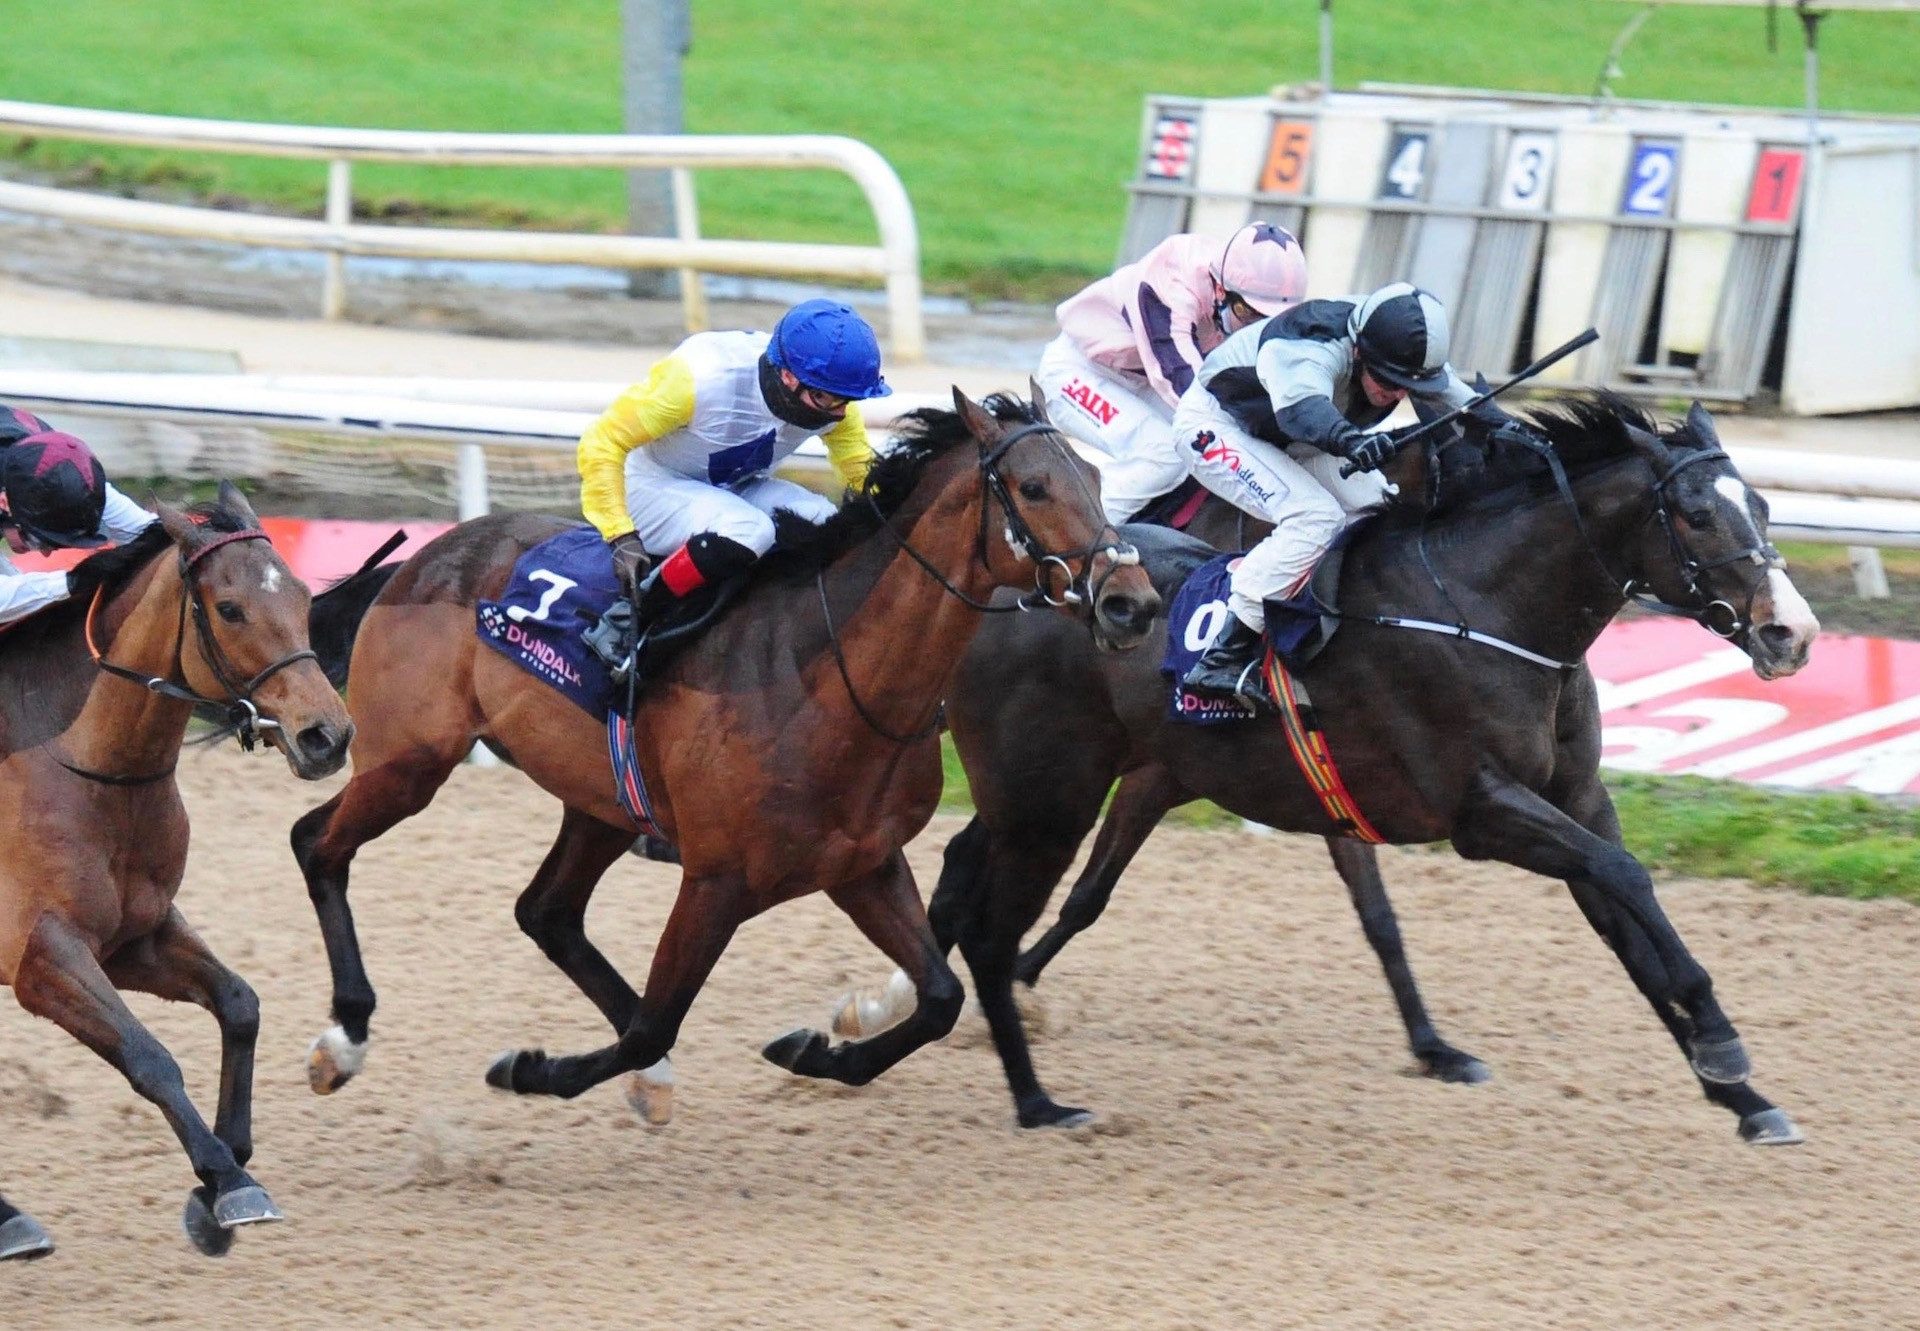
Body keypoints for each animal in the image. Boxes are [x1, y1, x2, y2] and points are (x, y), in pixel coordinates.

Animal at [0, 485, 353, 1259]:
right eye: (230, 608)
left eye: (304, 594)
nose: (327, 736)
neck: (85, 763)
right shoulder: (42, 954)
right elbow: (149, 1055)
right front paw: (229, 1182)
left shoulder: (137, 935)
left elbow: (241, 1004)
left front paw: (220, 1177)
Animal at [284, 389, 1152, 1113]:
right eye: (1034, 488)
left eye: (1097, 479)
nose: (1133, 602)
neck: (831, 677)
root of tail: (426, 558)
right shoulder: (716, 880)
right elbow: (654, 1023)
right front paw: (531, 1068)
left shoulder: (863, 863)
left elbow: (939, 998)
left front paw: (816, 1051)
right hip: (411, 760)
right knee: (317, 843)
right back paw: (343, 1039)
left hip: (602, 799)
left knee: (547, 911)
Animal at [825, 393, 1812, 1144]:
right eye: (1696, 513)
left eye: (1764, 508)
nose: (1790, 633)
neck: (1481, 607)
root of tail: (1016, 585)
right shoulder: (1482, 809)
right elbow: (1627, 876)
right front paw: (1722, 1042)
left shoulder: (1574, 797)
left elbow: (1625, 921)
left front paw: (1741, 1095)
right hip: (1046, 789)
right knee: (981, 905)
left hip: (1055, 785)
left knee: (965, 878)